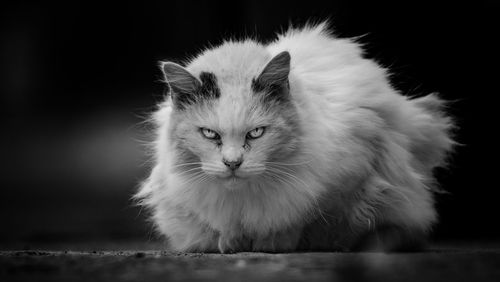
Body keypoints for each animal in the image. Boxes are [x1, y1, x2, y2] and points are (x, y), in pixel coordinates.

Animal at [135, 22, 456, 253]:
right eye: (209, 134)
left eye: (256, 132)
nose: (233, 163)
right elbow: (222, 227)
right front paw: (231, 243)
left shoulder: (348, 180)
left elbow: (304, 219)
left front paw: (273, 244)